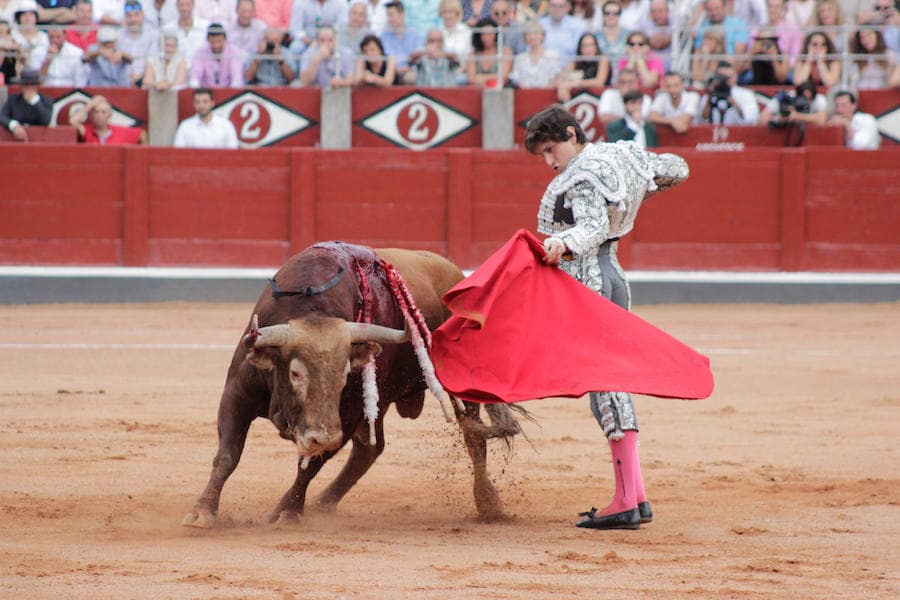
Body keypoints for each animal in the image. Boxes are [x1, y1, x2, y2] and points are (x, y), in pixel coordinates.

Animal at [183, 241, 520, 528]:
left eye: (344, 374)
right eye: (295, 373)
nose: (321, 436)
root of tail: (456, 275)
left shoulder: (345, 417)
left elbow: (310, 466)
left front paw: (288, 512)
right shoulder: (236, 394)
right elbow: (227, 455)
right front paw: (202, 513)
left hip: (459, 387)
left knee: (473, 437)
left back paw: (488, 504)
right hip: (379, 401)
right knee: (370, 449)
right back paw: (323, 503)